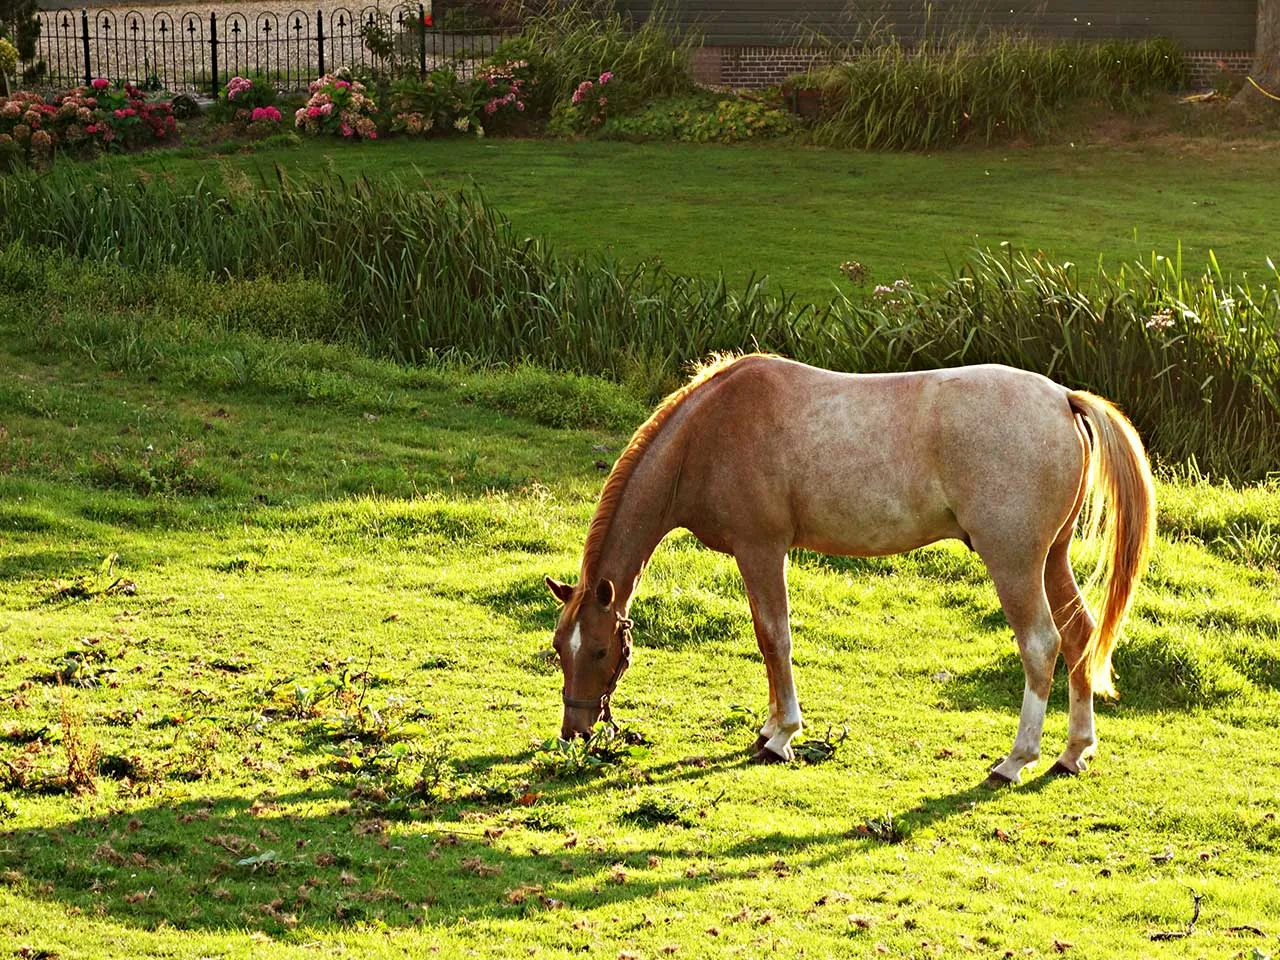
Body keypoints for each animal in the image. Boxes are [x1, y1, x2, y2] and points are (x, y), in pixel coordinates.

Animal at [545, 354, 1155, 785]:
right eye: (558, 648)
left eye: (598, 650)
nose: (575, 731)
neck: (710, 433)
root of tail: (1062, 399)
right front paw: (771, 727)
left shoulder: (761, 550)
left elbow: (774, 638)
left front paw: (782, 736)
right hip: (1051, 557)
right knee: (1079, 636)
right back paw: (1073, 752)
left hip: (1015, 562)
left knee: (1041, 646)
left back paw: (1015, 760)